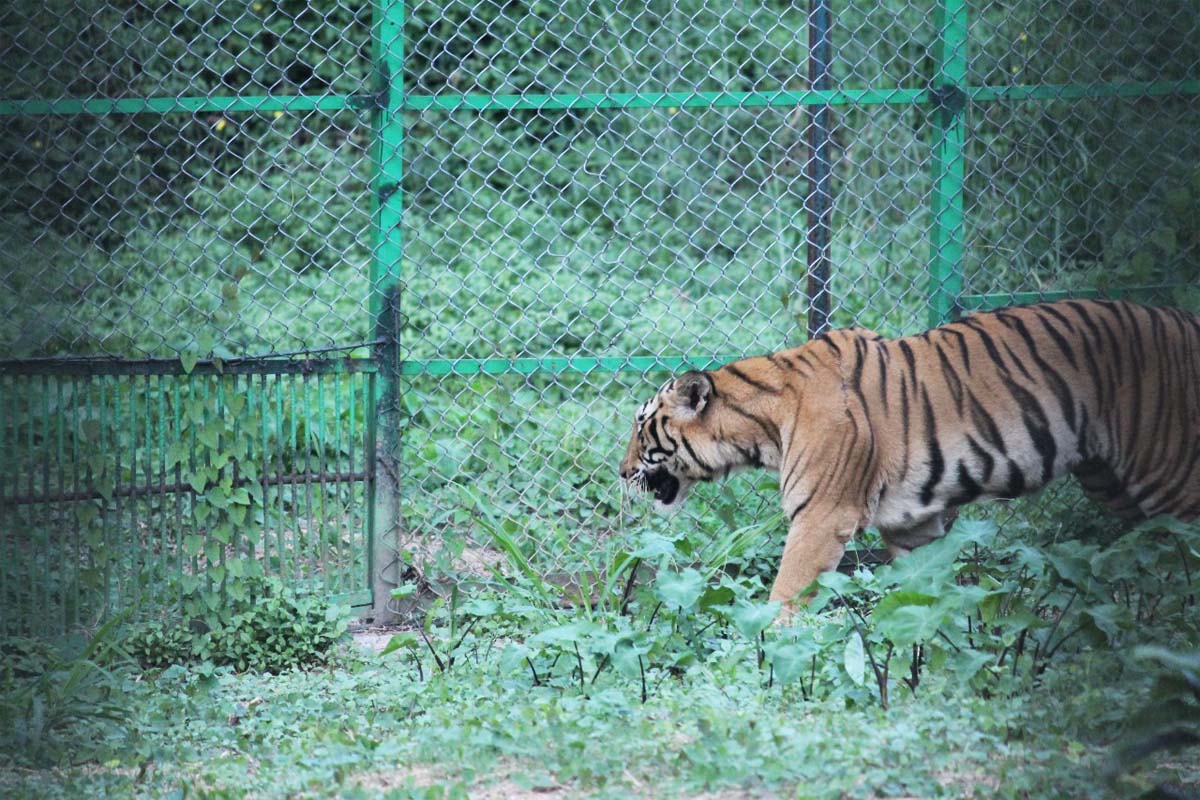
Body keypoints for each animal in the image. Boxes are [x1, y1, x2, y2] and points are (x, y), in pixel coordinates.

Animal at [619, 299, 1200, 618]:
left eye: (640, 429)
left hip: (1168, 473)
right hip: (1107, 478)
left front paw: (765, 647)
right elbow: (926, 594)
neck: (761, 427)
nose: (621, 474)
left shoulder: (822, 516)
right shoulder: (913, 524)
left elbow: (787, 592)